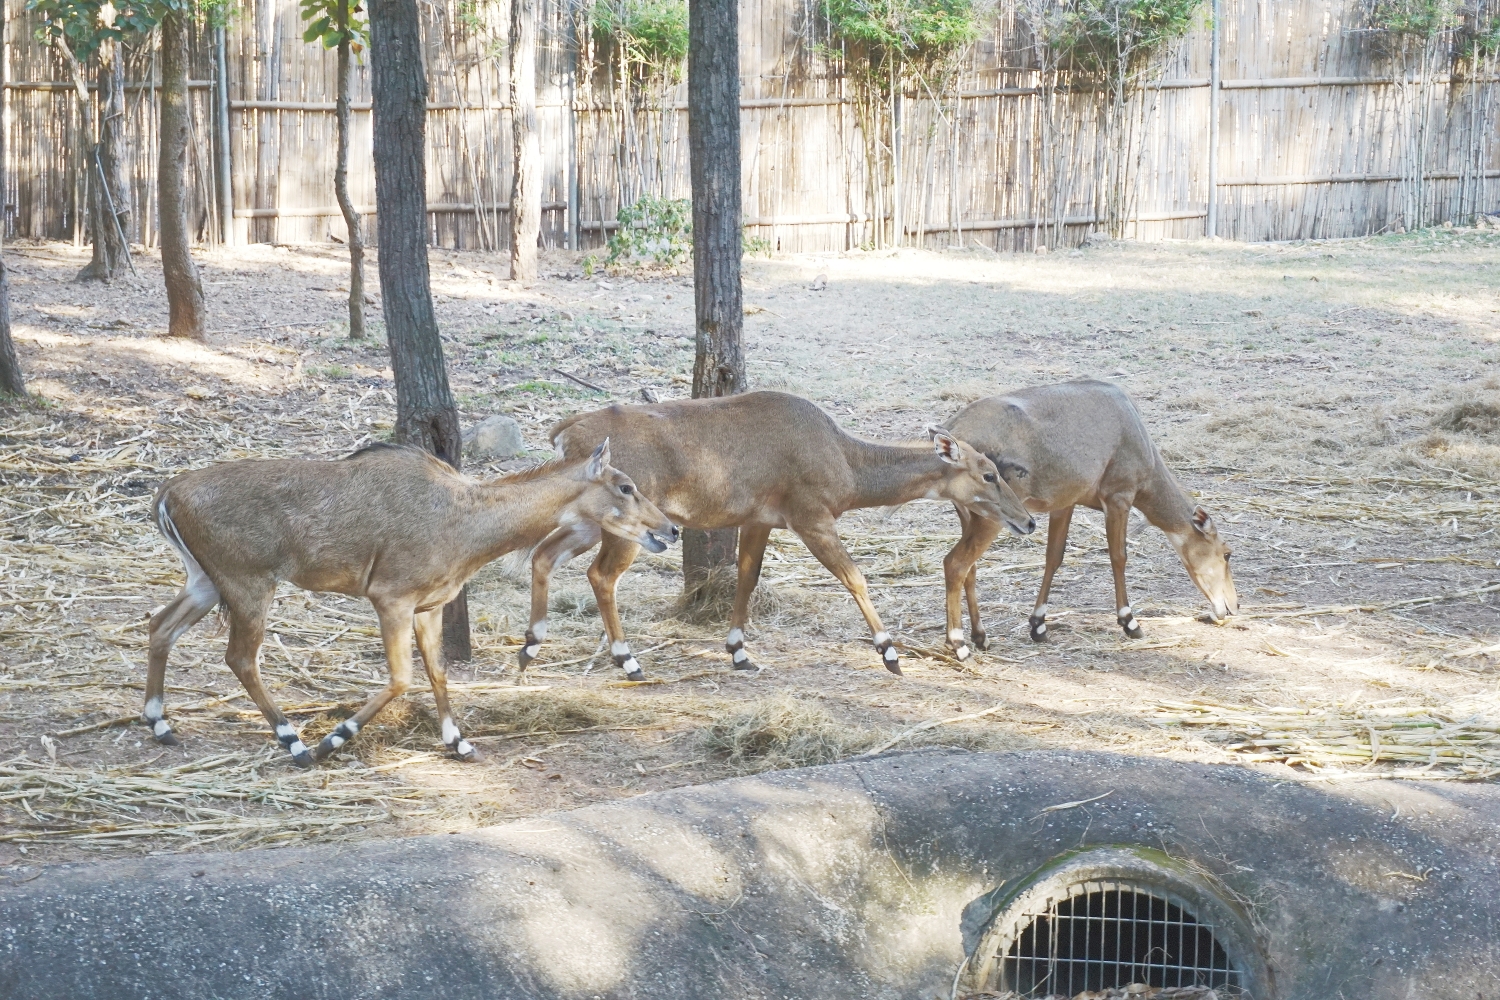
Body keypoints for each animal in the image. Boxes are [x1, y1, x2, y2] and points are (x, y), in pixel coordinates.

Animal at [144, 440, 675, 773]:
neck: (465, 520)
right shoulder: (391, 598)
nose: (668, 529)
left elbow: (437, 671)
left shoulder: (429, 606)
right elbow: (402, 677)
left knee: (159, 625)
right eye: (626, 486)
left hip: (206, 582)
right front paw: (333, 739)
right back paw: (295, 743)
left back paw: (161, 723)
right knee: (240, 657)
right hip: (248, 584)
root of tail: (166, 493)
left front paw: (459, 742)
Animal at [513, 389, 1032, 680]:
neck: (846, 461)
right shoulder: (811, 517)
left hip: (585, 521)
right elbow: (854, 577)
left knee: (543, 555)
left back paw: (529, 647)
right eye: (988, 474)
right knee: (601, 576)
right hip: (626, 528)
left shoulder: (759, 519)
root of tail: (565, 434)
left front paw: (739, 652)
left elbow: (748, 576)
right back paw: (629, 661)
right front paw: (889, 653)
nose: (1026, 520)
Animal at [942, 377, 1236, 656]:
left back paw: (981, 637)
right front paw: (1130, 622)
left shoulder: (1065, 504)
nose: (1233, 606)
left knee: (969, 567)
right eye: (1227, 553)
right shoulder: (1119, 497)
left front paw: (1039, 625)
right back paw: (958, 644)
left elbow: (1054, 557)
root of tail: (952, 434)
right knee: (955, 563)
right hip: (991, 519)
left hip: (969, 515)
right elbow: (1119, 556)